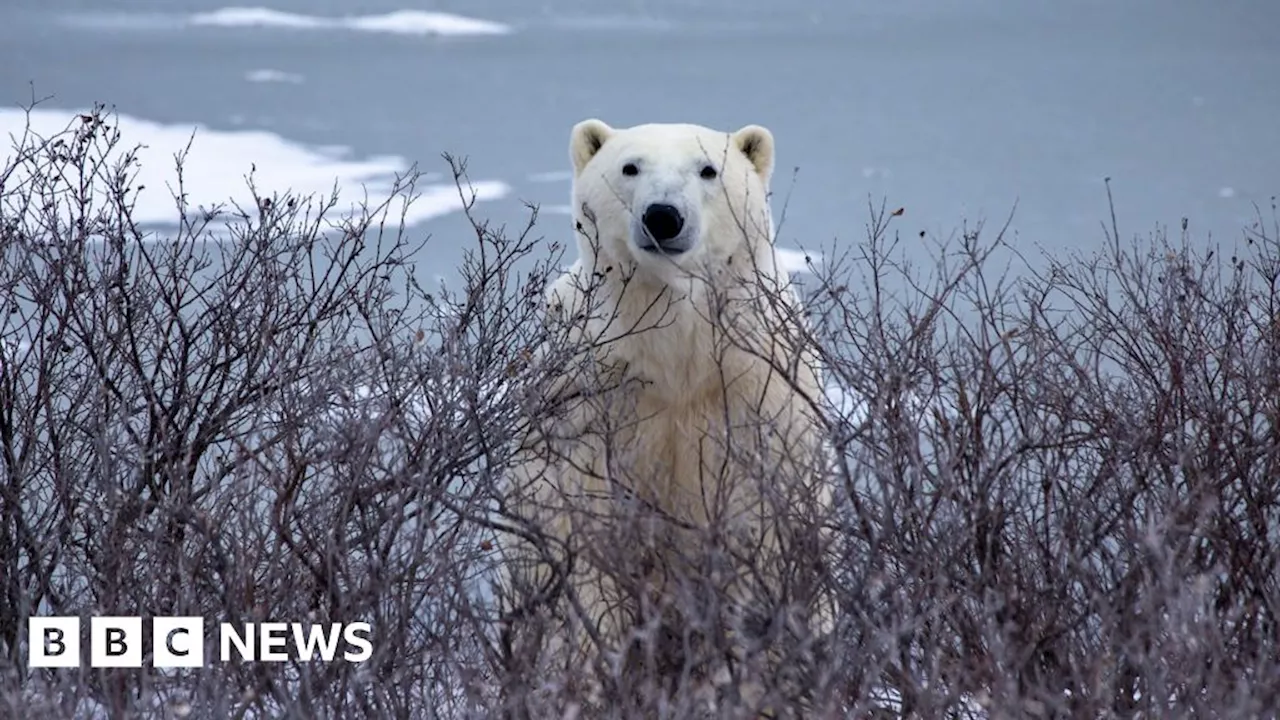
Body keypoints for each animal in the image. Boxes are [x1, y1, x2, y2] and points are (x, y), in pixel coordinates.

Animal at [499, 116, 829, 707]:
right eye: (630, 167)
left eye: (708, 169)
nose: (663, 215)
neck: (676, 349)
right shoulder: (589, 396)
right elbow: (582, 527)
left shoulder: (755, 388)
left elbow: (760, 518)